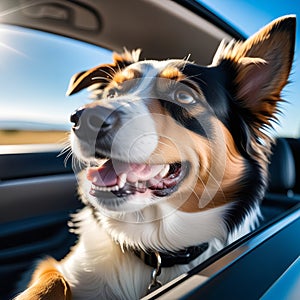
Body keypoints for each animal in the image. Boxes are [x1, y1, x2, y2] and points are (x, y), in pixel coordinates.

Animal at [14, 15, 296, 298]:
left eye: (183, 96)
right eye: (112, 94)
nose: (84, 118)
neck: (156, 249)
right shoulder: (58, 266)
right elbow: (52, 280)